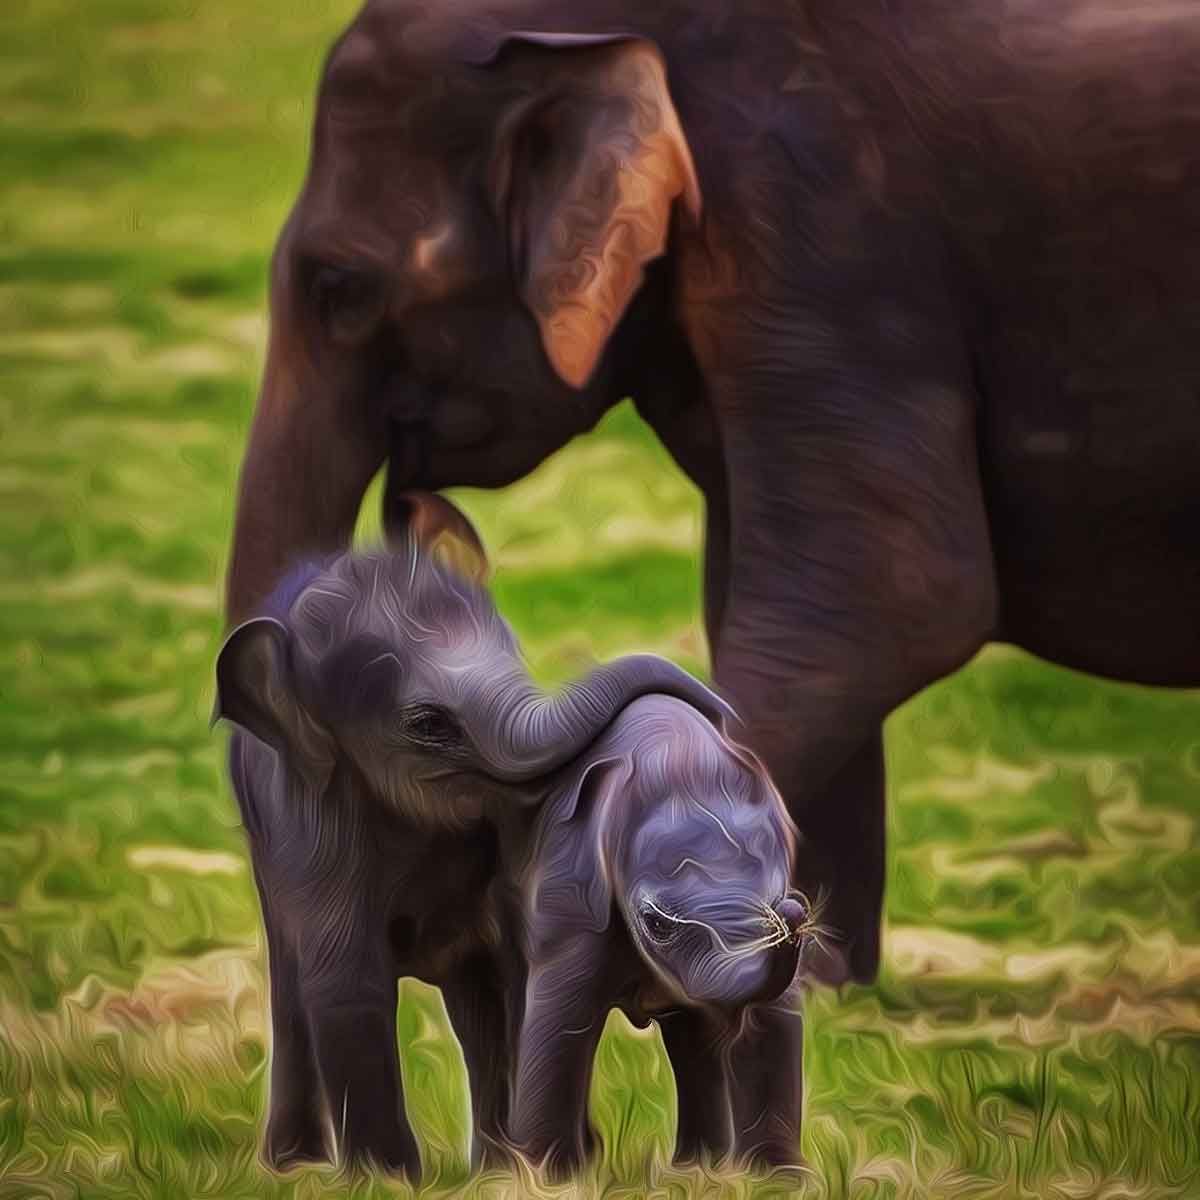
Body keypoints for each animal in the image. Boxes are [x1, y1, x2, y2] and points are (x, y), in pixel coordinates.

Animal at [510, 692, 809, 1177]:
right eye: (656, 924)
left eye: (782, 896)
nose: (795, 912)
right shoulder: (573, 891)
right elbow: (560, 1021)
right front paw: (549, 1181)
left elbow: (775, 1025)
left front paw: (780, 1181)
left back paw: (696, 1169)